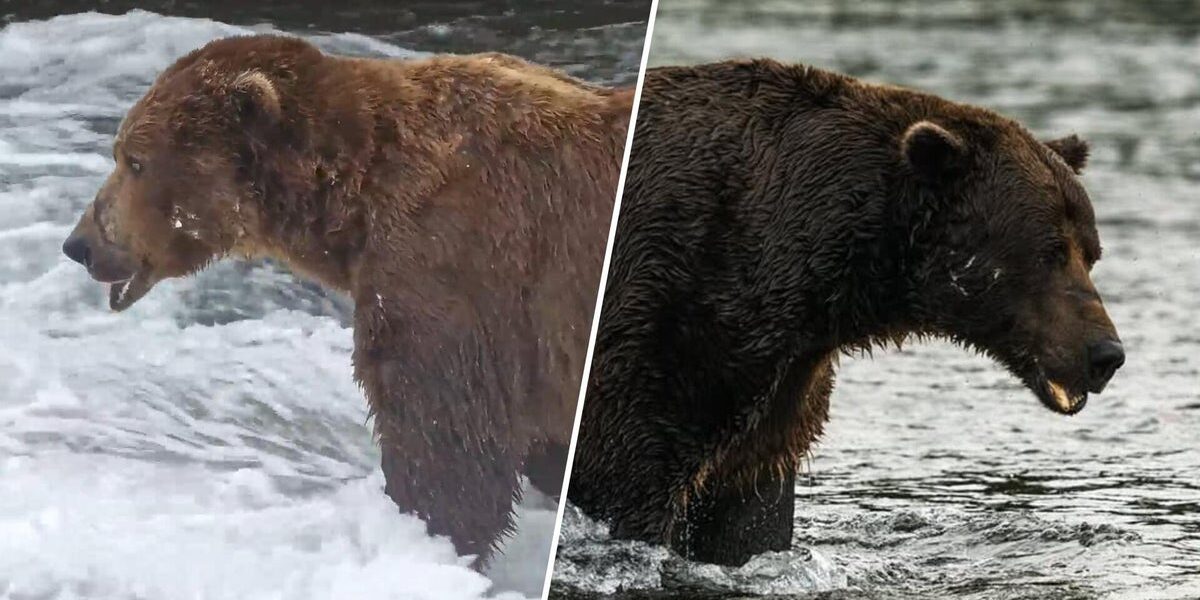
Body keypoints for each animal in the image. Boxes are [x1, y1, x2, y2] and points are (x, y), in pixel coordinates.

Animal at [60, 34, 632, 564]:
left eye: (135, 161)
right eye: (120, 152)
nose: (79, 244)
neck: (352, 200)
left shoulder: (455, 265)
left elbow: (443, 435)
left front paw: (424, 537)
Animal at [565, 59, 1125, 566]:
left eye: (1092, 252)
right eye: (1049, 252)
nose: (1105, 353)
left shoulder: (779, 392)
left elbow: (750, 513)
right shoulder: (666, 325)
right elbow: (629, 478)